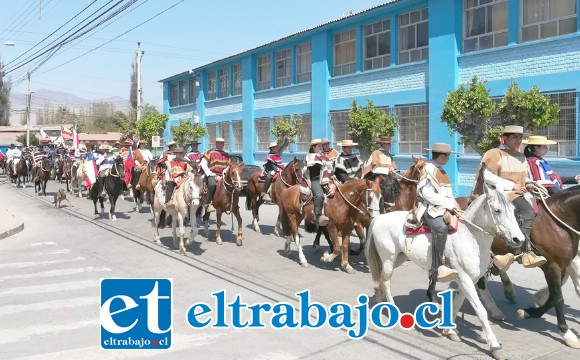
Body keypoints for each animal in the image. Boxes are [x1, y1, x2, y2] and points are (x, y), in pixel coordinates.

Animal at [368, 186, 524, 360]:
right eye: (497, 210)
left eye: (514, 210)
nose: (519, 239)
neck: (470, 237)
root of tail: (379, 218)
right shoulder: (465, 279)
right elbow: (481, 311)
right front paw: (495, 346)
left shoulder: (468, 280)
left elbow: (457, 303)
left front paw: (450, 330)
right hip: (389, 258)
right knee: (386, 281)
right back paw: (394, 310)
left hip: (399, 258)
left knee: (381, 278)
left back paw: (378, 296)